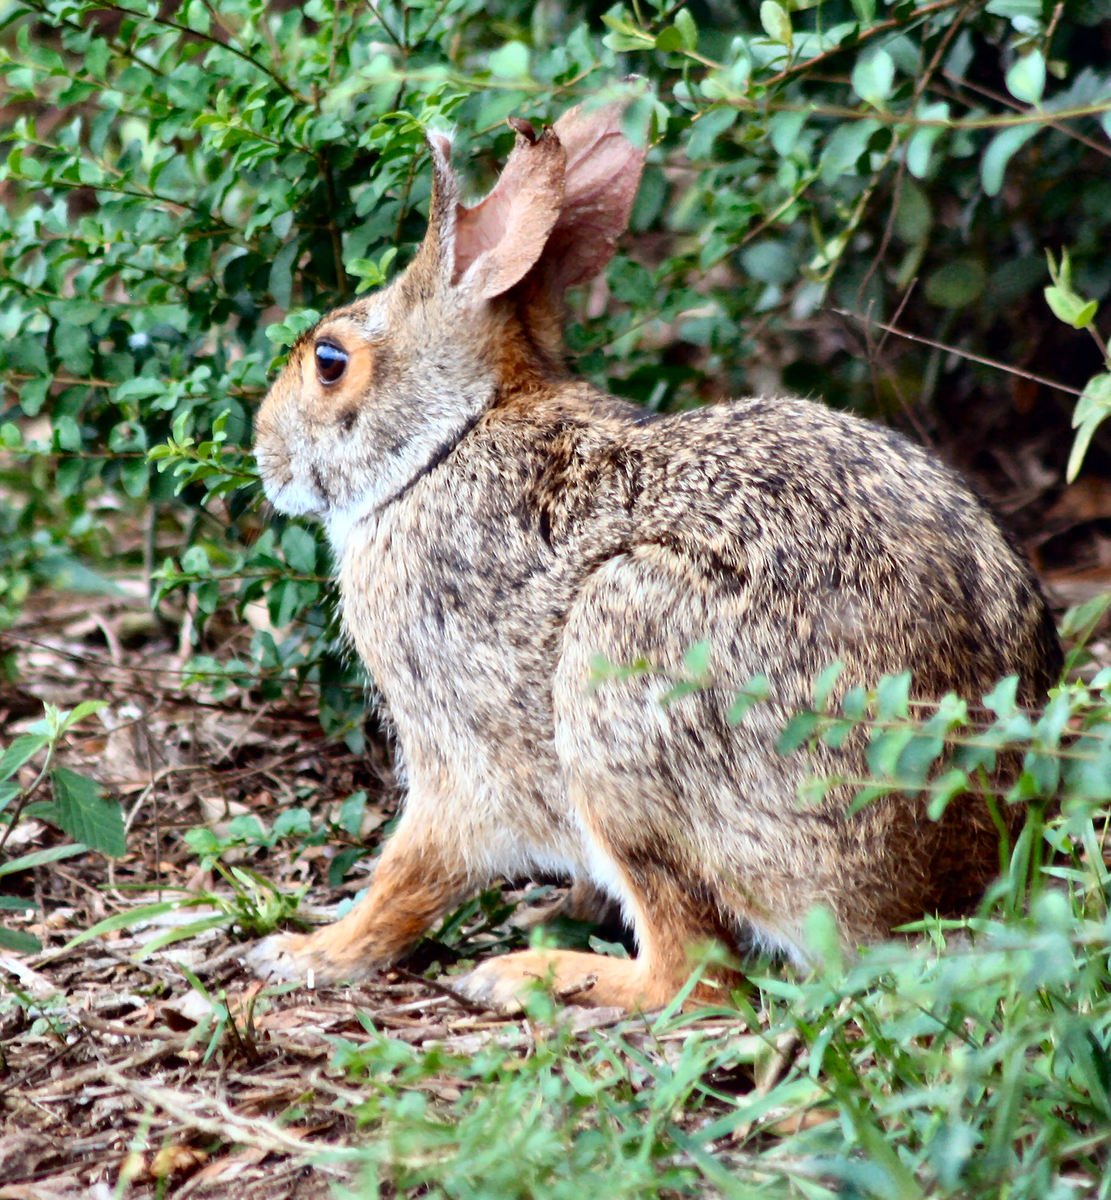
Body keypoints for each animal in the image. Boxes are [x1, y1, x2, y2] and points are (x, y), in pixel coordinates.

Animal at [248, 98, 1065, 1008]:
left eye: (330, 362)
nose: (263, 453)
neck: (445, 441)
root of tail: (941, 879)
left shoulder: (456, 750)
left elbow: (411, 870)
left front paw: (309, 952)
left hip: (620, 682)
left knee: (695, 973)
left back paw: (535, 976)